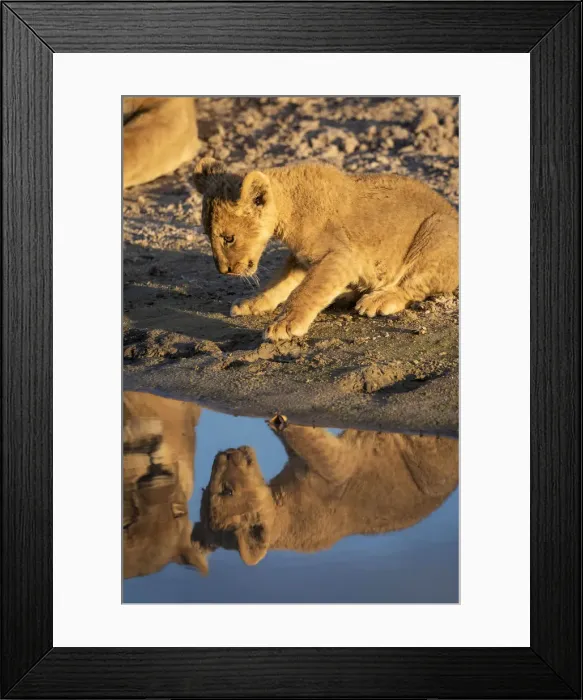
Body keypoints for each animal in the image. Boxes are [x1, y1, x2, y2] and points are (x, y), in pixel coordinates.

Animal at [192, 158, 458, 341]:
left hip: (435, 229)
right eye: (206, 234)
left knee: (413, 285)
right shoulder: (300, 258)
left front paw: (285, 325)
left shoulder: (340, 255)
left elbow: (306, 291)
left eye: (228, 238)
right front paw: (252, 302)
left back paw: (377, 299)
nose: (224, 270)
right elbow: (277, 283)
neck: (288, 207)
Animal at [192, 415, 458, 566]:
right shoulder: (335, 463)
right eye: (205, 492)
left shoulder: (333, 466)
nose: (223, 454)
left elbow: (302, 436)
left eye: (226, 491)